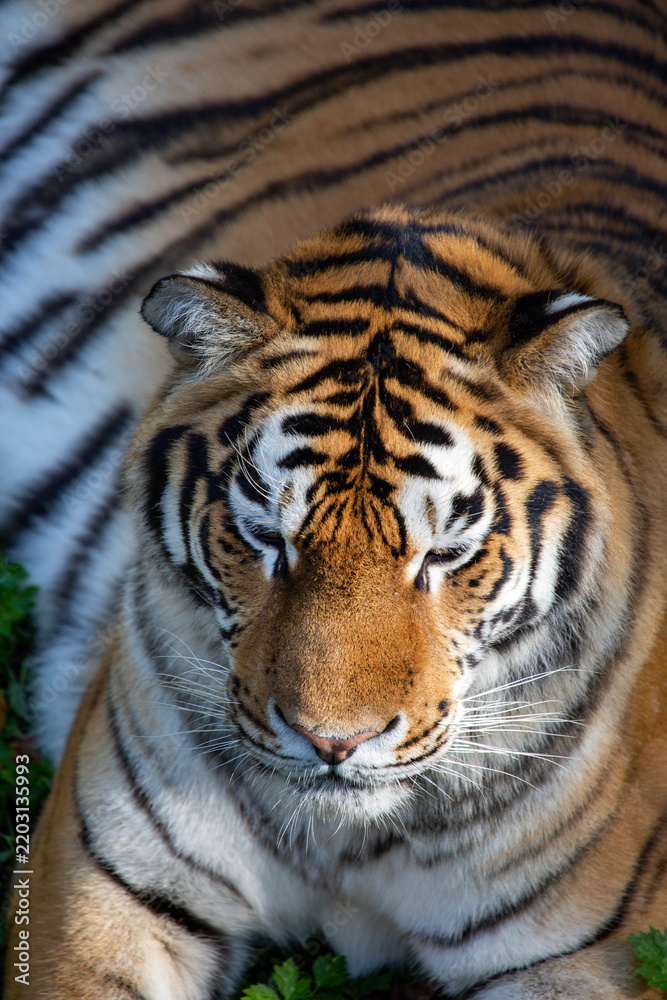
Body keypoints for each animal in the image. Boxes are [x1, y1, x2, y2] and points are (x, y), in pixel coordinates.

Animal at [2, 0, 667, 998]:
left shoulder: (589, 956)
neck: (350, 848)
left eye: (444, 555)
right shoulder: (103, 888)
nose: (332, 745)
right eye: (265, 537)